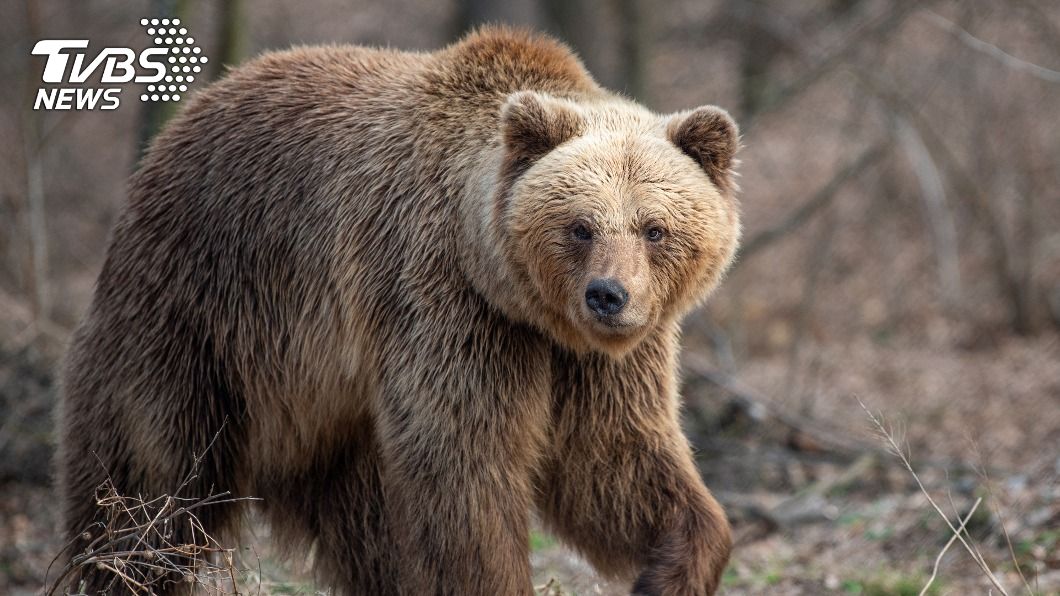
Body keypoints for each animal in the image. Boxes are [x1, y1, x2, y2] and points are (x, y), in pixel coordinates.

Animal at [56, 27, 741, 595]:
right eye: (580, 226)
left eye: (654, 228)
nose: (608, 294)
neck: (513, 294)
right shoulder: (442, 303)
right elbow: (464, 470)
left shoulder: (592, 359)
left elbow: (614, 462)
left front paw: (668, 567)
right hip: (196, 316)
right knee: (153, 484)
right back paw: (118, 566)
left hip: (329, 412)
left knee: (368, 533)